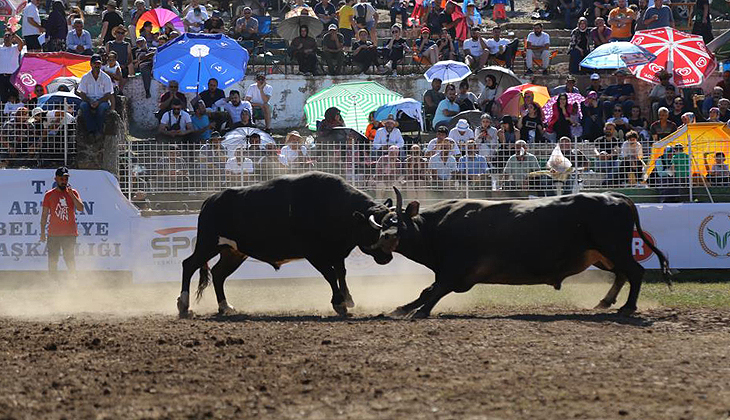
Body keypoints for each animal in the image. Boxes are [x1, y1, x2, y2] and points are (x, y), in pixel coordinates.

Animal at [176, 172, 396, 316]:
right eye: (376, 230)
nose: (387, 256)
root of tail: (209, 201)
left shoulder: (336, 252)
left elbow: (341, 273)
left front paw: (347, 298)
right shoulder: (314, 254)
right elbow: (330, 275)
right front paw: (339, 303)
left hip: (233, 252)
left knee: (218, 273)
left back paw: (225, 306)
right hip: (208, 244)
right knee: (189, 264)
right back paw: (184, 305)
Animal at [376, 189, 672, 316]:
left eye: (399, 221)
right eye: (385, 221)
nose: (385, 239)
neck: (436, 227)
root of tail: (616, 197)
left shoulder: (456, 272)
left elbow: (434, 291)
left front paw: (417, 311)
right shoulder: (450, 273)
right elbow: (428, 290)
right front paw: (401, 308)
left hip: (613, 248)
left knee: (635, 272)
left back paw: (628, 307)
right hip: (602, 254)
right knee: (622, 274)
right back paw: (605, 302)